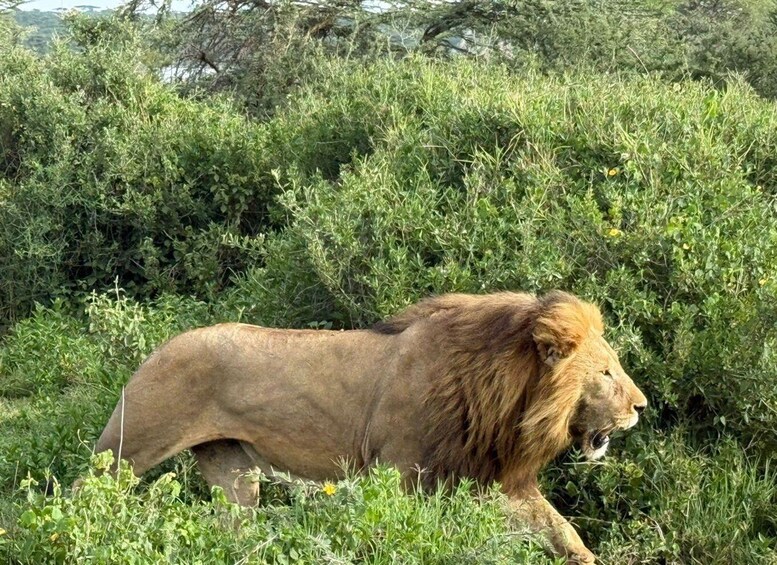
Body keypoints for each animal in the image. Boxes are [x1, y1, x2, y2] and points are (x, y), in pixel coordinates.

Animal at [94, 291, 647, 564]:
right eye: (605, 372)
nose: (641, 406)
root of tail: (157, 347)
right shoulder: (400, 473)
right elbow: (397, 536)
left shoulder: (491, 479)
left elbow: (562, 531)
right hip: (130, 443)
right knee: (88, 492)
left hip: (234, 471)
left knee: (233, 528)